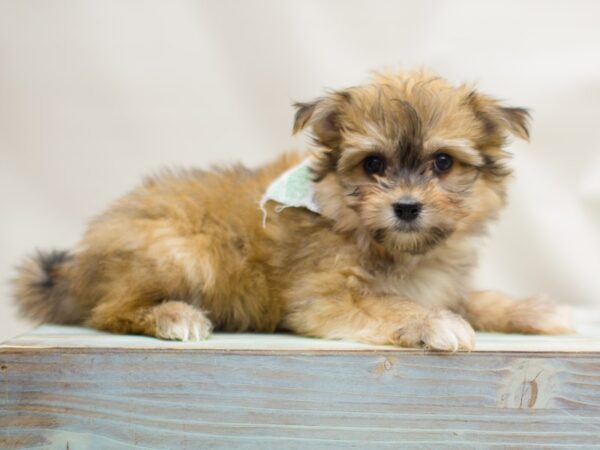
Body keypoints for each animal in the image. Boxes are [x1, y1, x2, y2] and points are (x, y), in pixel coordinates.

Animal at [11, 70, 568, 352]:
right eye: (372, 165)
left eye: (443, 162)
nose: (407, 207)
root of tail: (76, 267)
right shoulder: (326, 297)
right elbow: (390, 305)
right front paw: (432, 323)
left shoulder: (441, 282)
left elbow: (473, 298)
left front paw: (531, 310)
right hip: (183, 253)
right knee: (107, 311)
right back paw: (174, 316)